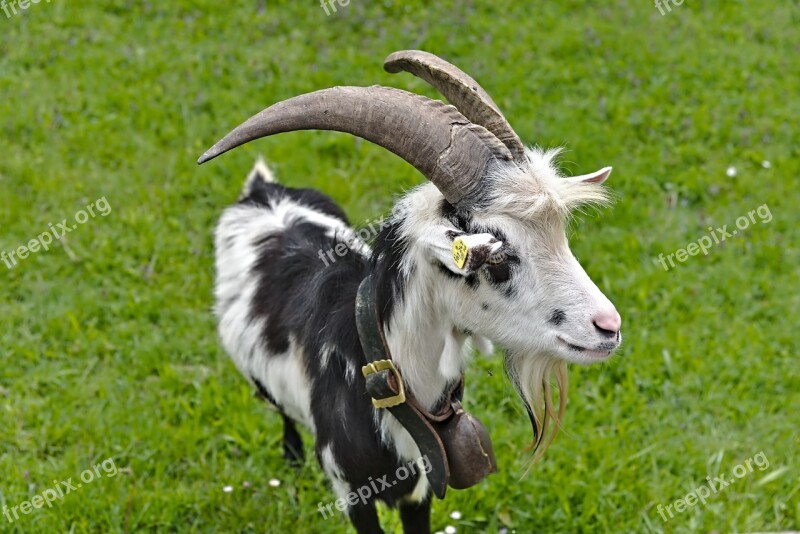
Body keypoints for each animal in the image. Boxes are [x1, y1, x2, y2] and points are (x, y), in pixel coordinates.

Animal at [197, 50, 620, 534]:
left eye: (560, 235)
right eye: (495, 254)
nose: (608, 327)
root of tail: (262, 191)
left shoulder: (421, 489)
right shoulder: (354, 493)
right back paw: (291, 458)